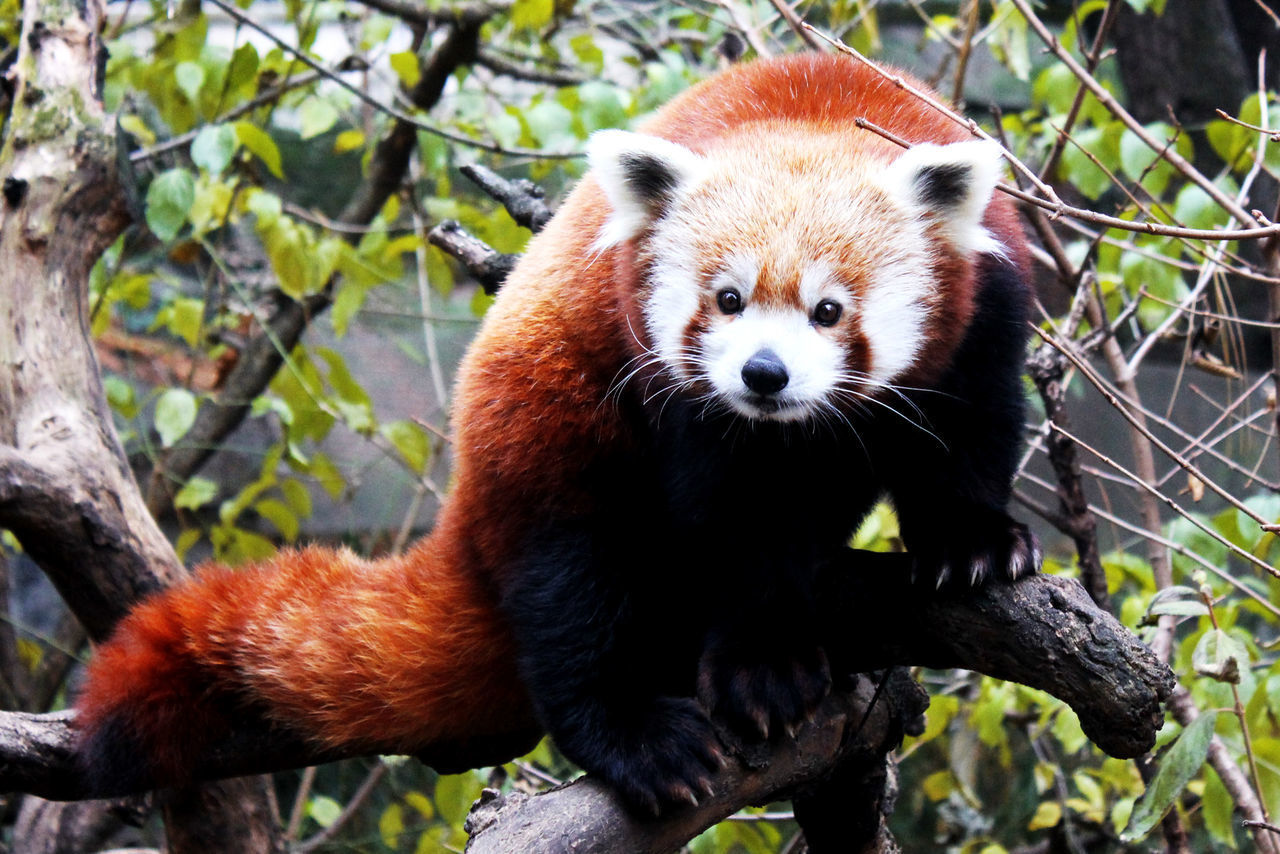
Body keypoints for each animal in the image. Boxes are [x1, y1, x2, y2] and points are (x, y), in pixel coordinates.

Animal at [74, 51, 1034, 819]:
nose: (763, 375)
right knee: (572, 584)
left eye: (828, 310)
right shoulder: (665, 386)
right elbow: (729, 525)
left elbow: (970, 426)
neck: (826, 104)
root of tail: (465, 515)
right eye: (726, 300)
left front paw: (971, 541)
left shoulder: (986, 303)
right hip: (542, 437)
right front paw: (764, 661)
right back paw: (637, 730)